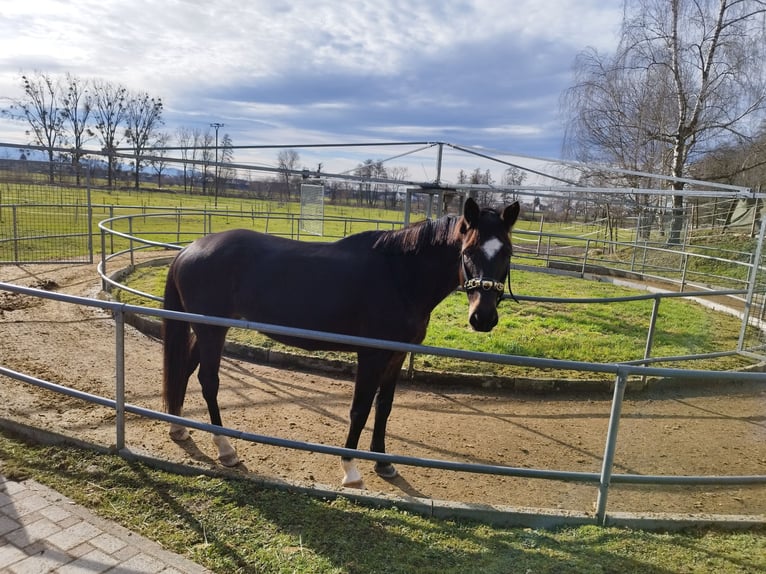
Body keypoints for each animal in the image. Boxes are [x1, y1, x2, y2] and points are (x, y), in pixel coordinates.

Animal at [162, 196, 520, 488]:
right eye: (468, 251)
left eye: (507, 252)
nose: (483, 317)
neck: (399, 275)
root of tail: (189, 249)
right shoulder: (371, 356)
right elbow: (359, 409)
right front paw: (350, 469)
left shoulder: (396, 356)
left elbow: (384, 407)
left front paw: (384, 463)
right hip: (212, 331)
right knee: (208, 380)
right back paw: (226, 449)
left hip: (207, 329)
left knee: (185, 368)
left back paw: (178, 427)